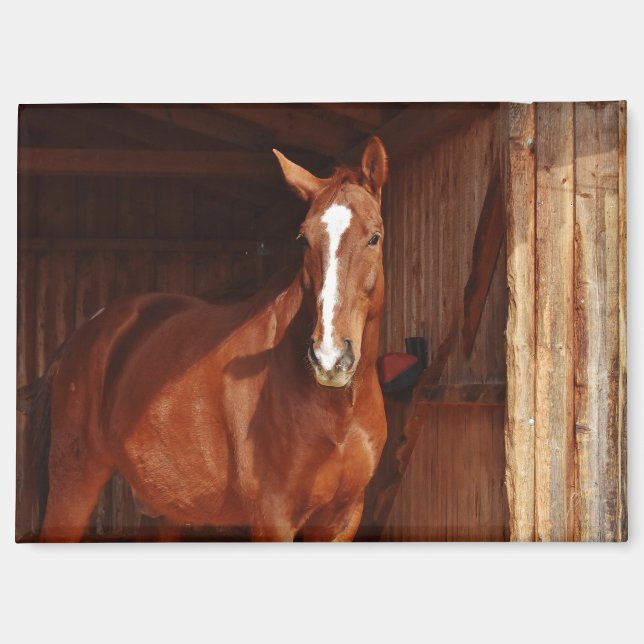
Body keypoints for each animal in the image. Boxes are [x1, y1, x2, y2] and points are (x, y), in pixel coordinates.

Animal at [35, 137, 389, 542]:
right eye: (303, 239)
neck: (336, 412)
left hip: (161, 509)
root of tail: (85, 333)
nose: (329, 358)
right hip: (73, 486)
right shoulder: (273, 518)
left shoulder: (341, 519)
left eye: (374, 237)